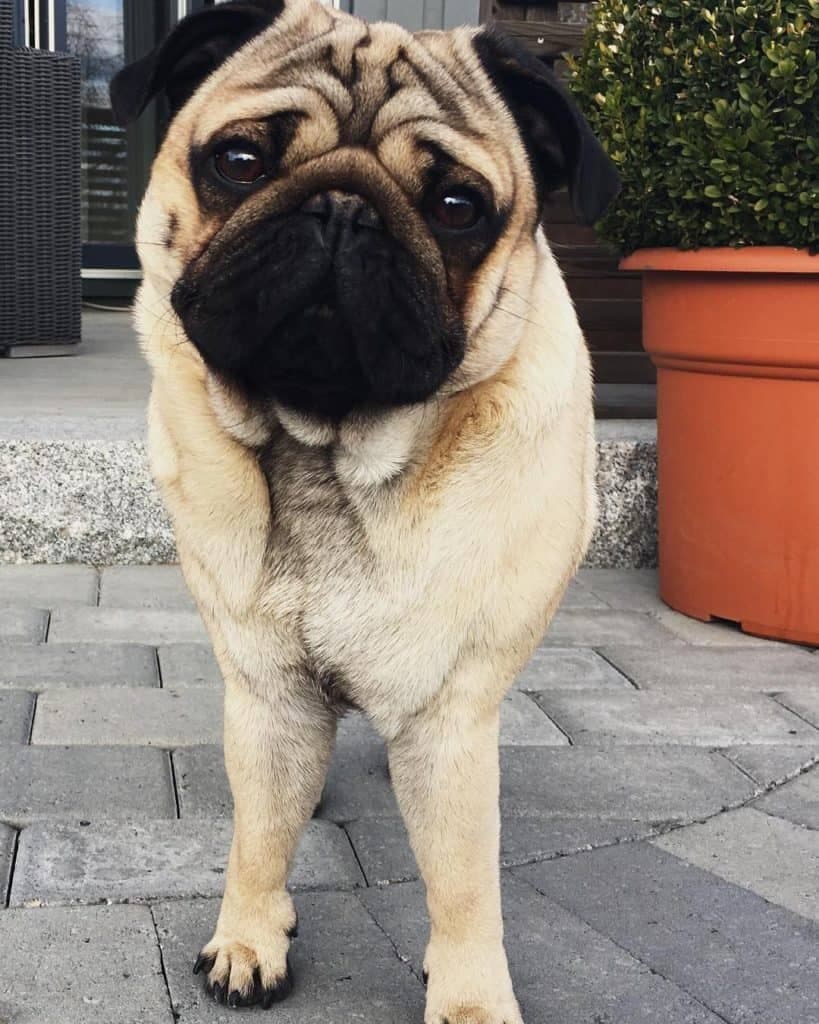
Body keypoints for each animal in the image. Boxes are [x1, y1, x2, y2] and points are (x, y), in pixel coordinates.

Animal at [112, 4, 618, 1019]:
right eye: (239, 161)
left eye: (458, 208)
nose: (343, 209)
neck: (327, 450)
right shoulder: (268, 691)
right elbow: (259, 832)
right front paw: (250, 935)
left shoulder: (452, 716)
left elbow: (463, 881)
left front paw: (469, 998)